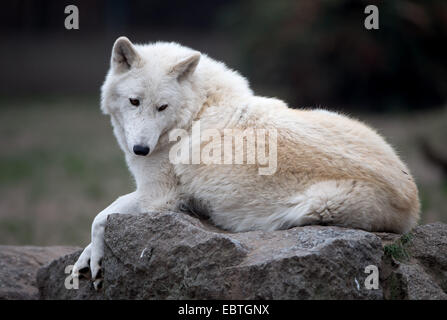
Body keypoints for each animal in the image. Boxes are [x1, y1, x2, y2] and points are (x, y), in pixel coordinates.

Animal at [72, 36, 420, 284]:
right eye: (134, 102)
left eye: (162, 107)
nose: (140, 150)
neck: (195, 111)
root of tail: (414, 200)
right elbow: (104, 213)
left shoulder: (157, 198)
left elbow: (102, 215)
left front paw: (92, 259)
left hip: (311, 208)